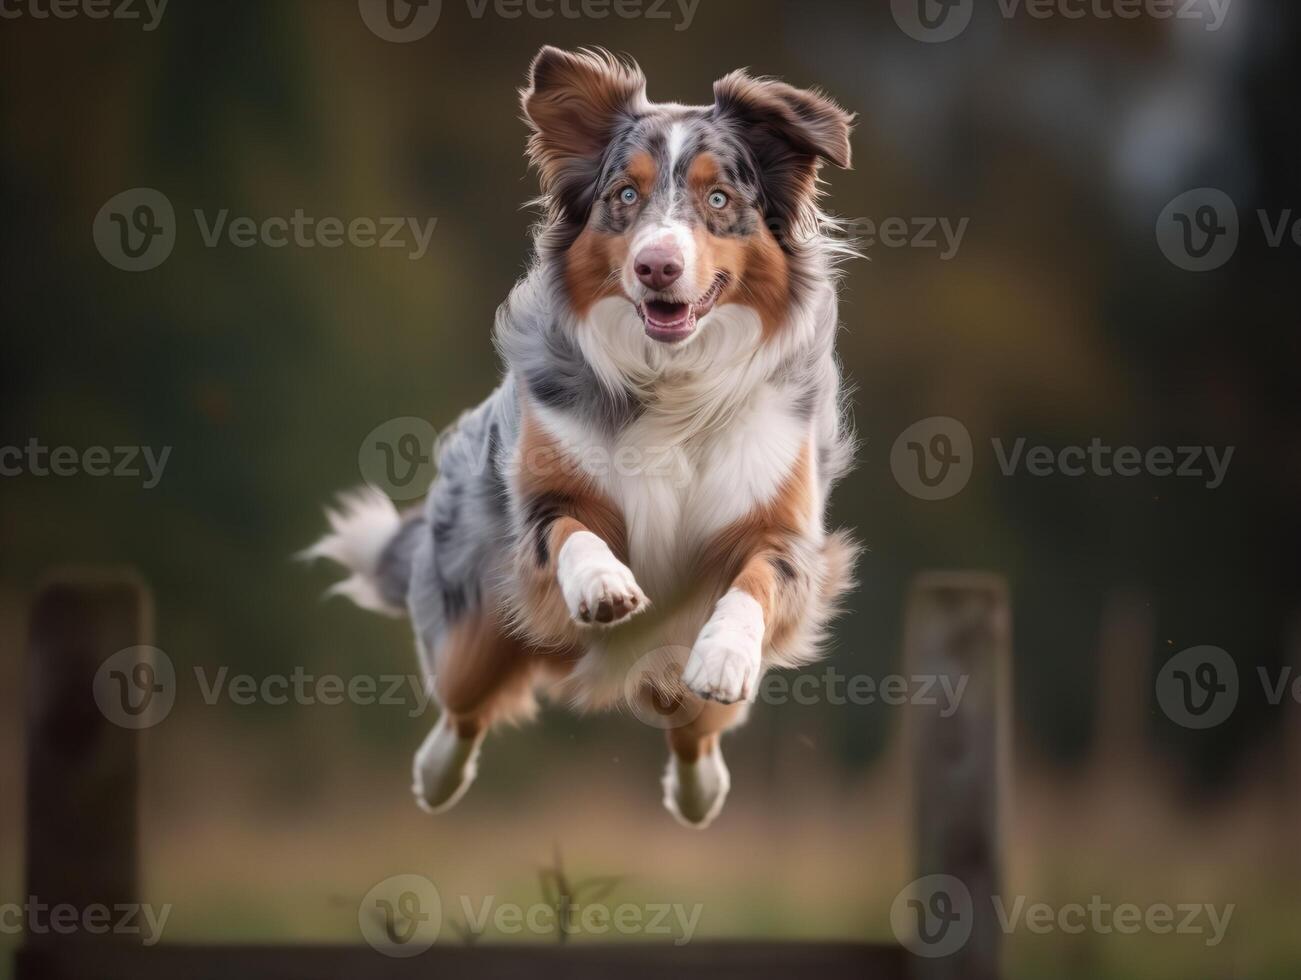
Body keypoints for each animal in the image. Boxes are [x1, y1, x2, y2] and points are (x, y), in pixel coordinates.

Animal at [308, 45, 858, 827]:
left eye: (720, 198)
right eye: (624, 195)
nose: (656, 265)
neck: (673, 380)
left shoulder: (779, 529)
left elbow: (753, 581)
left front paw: (723, 655)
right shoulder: (543, 501)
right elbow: (573, 531)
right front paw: (604, 586)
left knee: (689, 728)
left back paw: (700, 794)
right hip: (476, 625)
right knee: (463, 705)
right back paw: (436, 777)